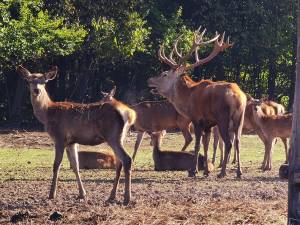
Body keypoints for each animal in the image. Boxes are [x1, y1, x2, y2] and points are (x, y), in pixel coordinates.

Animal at [17, 64, 136, 205]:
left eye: (44, 82)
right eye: (30, 80)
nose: (36, 90)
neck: (47, 113)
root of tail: (129, 113)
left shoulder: (59, 137)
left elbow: (56, 165)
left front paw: (52, 194)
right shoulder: (71, 142)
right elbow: (75, 166)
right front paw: (82, 194)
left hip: (112, 136)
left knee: (127, 159)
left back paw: (127, 198)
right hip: (120, 137)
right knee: (119, 162)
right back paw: (112, 196)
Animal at [148, 26, 246, 178]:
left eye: (164, 74)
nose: (149, 80)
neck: (187, 99)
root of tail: (238, 97)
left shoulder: (196, 118)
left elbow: (197, 144)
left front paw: (193, 171)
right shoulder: (208, 124)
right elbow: (206, 144)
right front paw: (206, 171)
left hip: (223, 117)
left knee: (229, 143)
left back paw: (222, 172)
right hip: (240, 117)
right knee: (238, 142)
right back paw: (239, 172)